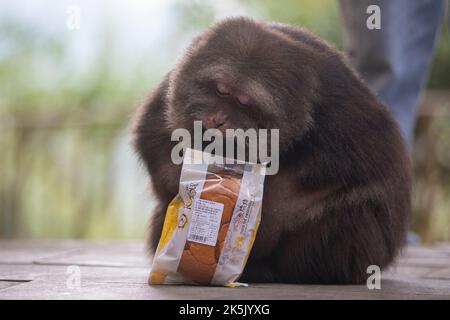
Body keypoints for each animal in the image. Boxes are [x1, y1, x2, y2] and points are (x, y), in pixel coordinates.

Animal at [131, 16, 412, 284]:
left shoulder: (340, 105)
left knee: (353, 213)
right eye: (221, 90)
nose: (218, 119)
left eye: (243, 102)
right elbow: (153, 134)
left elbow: (376, 168)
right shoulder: (180, 77)